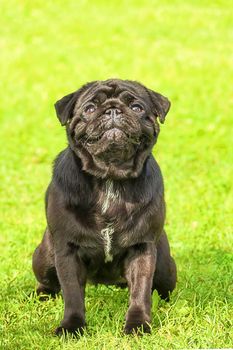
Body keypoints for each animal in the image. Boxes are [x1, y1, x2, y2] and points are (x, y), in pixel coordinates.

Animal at [31, 78, 176, 334]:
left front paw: (138, 325)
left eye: (137, 107)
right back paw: (42, 295)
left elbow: (141, 291)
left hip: (165, 267)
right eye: (89, 108)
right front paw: (71, 327)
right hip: (45, 258)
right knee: (48, 281)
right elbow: (72, 293)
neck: (110, 179)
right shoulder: (68, 250)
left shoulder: (142, 248)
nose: (113, 110)